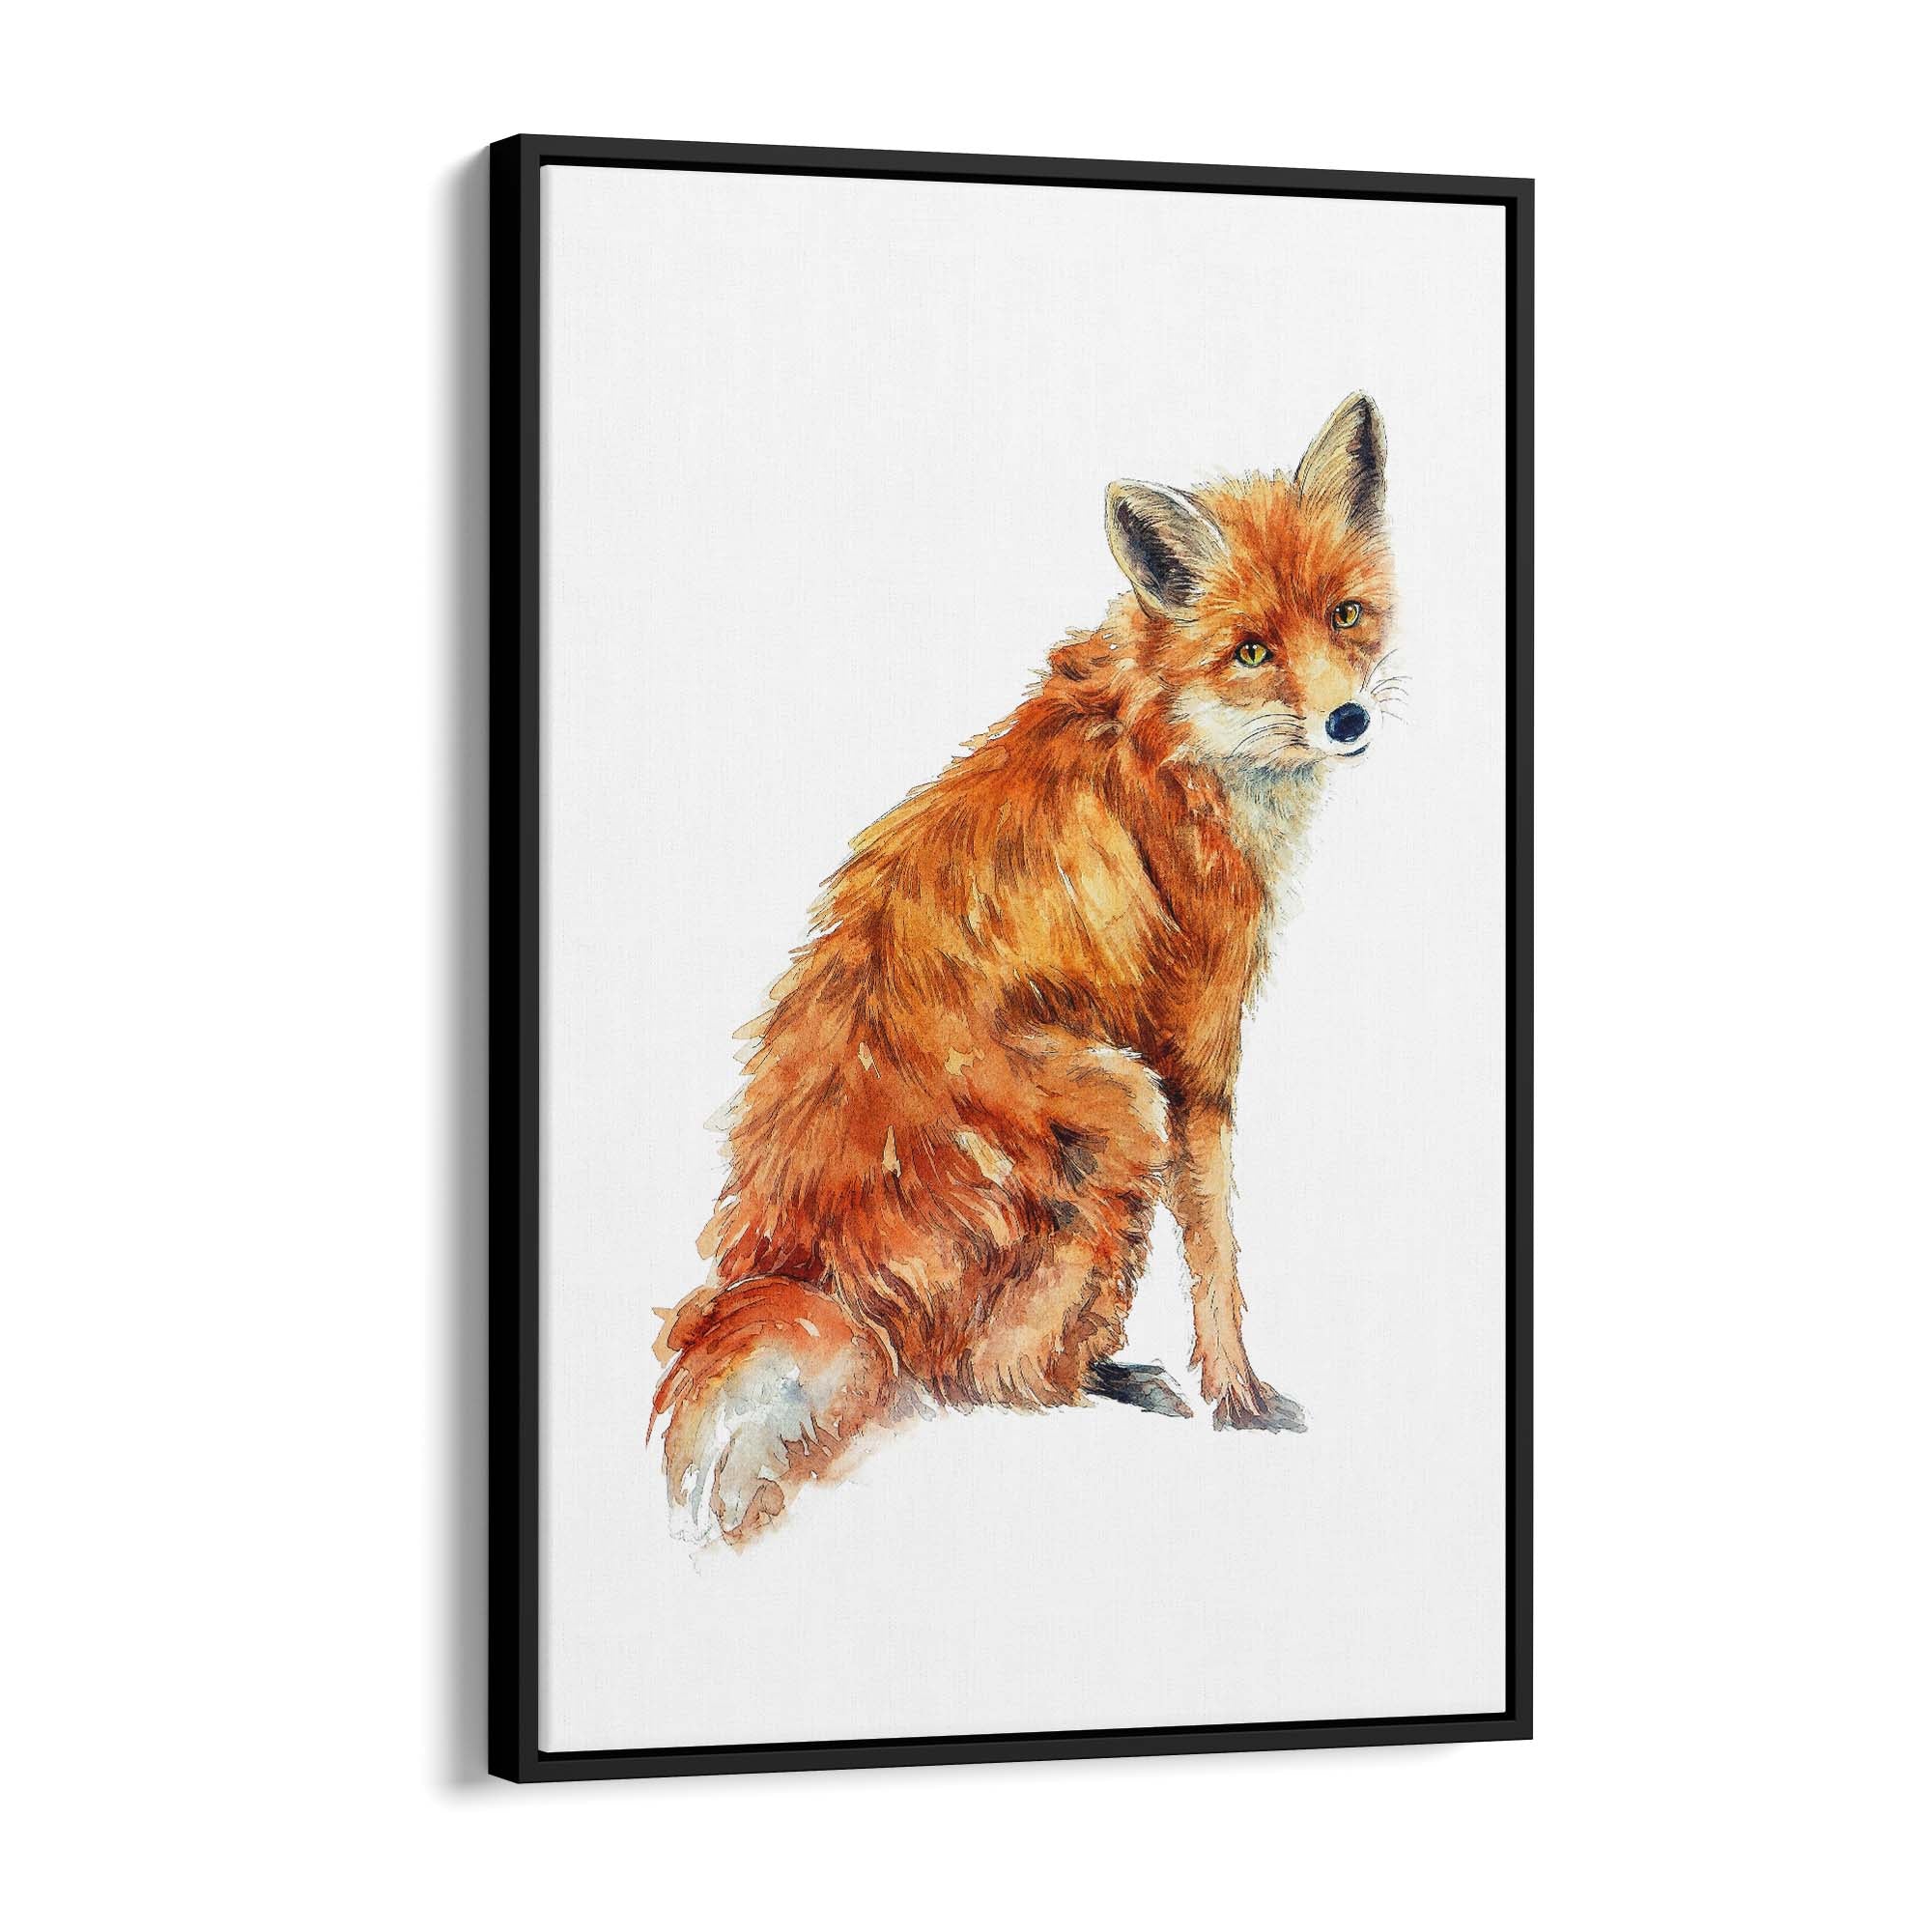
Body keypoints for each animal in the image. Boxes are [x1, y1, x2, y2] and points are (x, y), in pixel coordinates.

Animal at [651, 392, 1400, 1543]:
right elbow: (1218, 1256)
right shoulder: (1193, 1054)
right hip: (1123, 1104)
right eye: (1250, 649)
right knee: (977, 1377)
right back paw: (1093, 1382)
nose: (1347, 719)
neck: (1170, 741)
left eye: (1347, 615)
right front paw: (1238, 1395)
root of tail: (798, 1262)